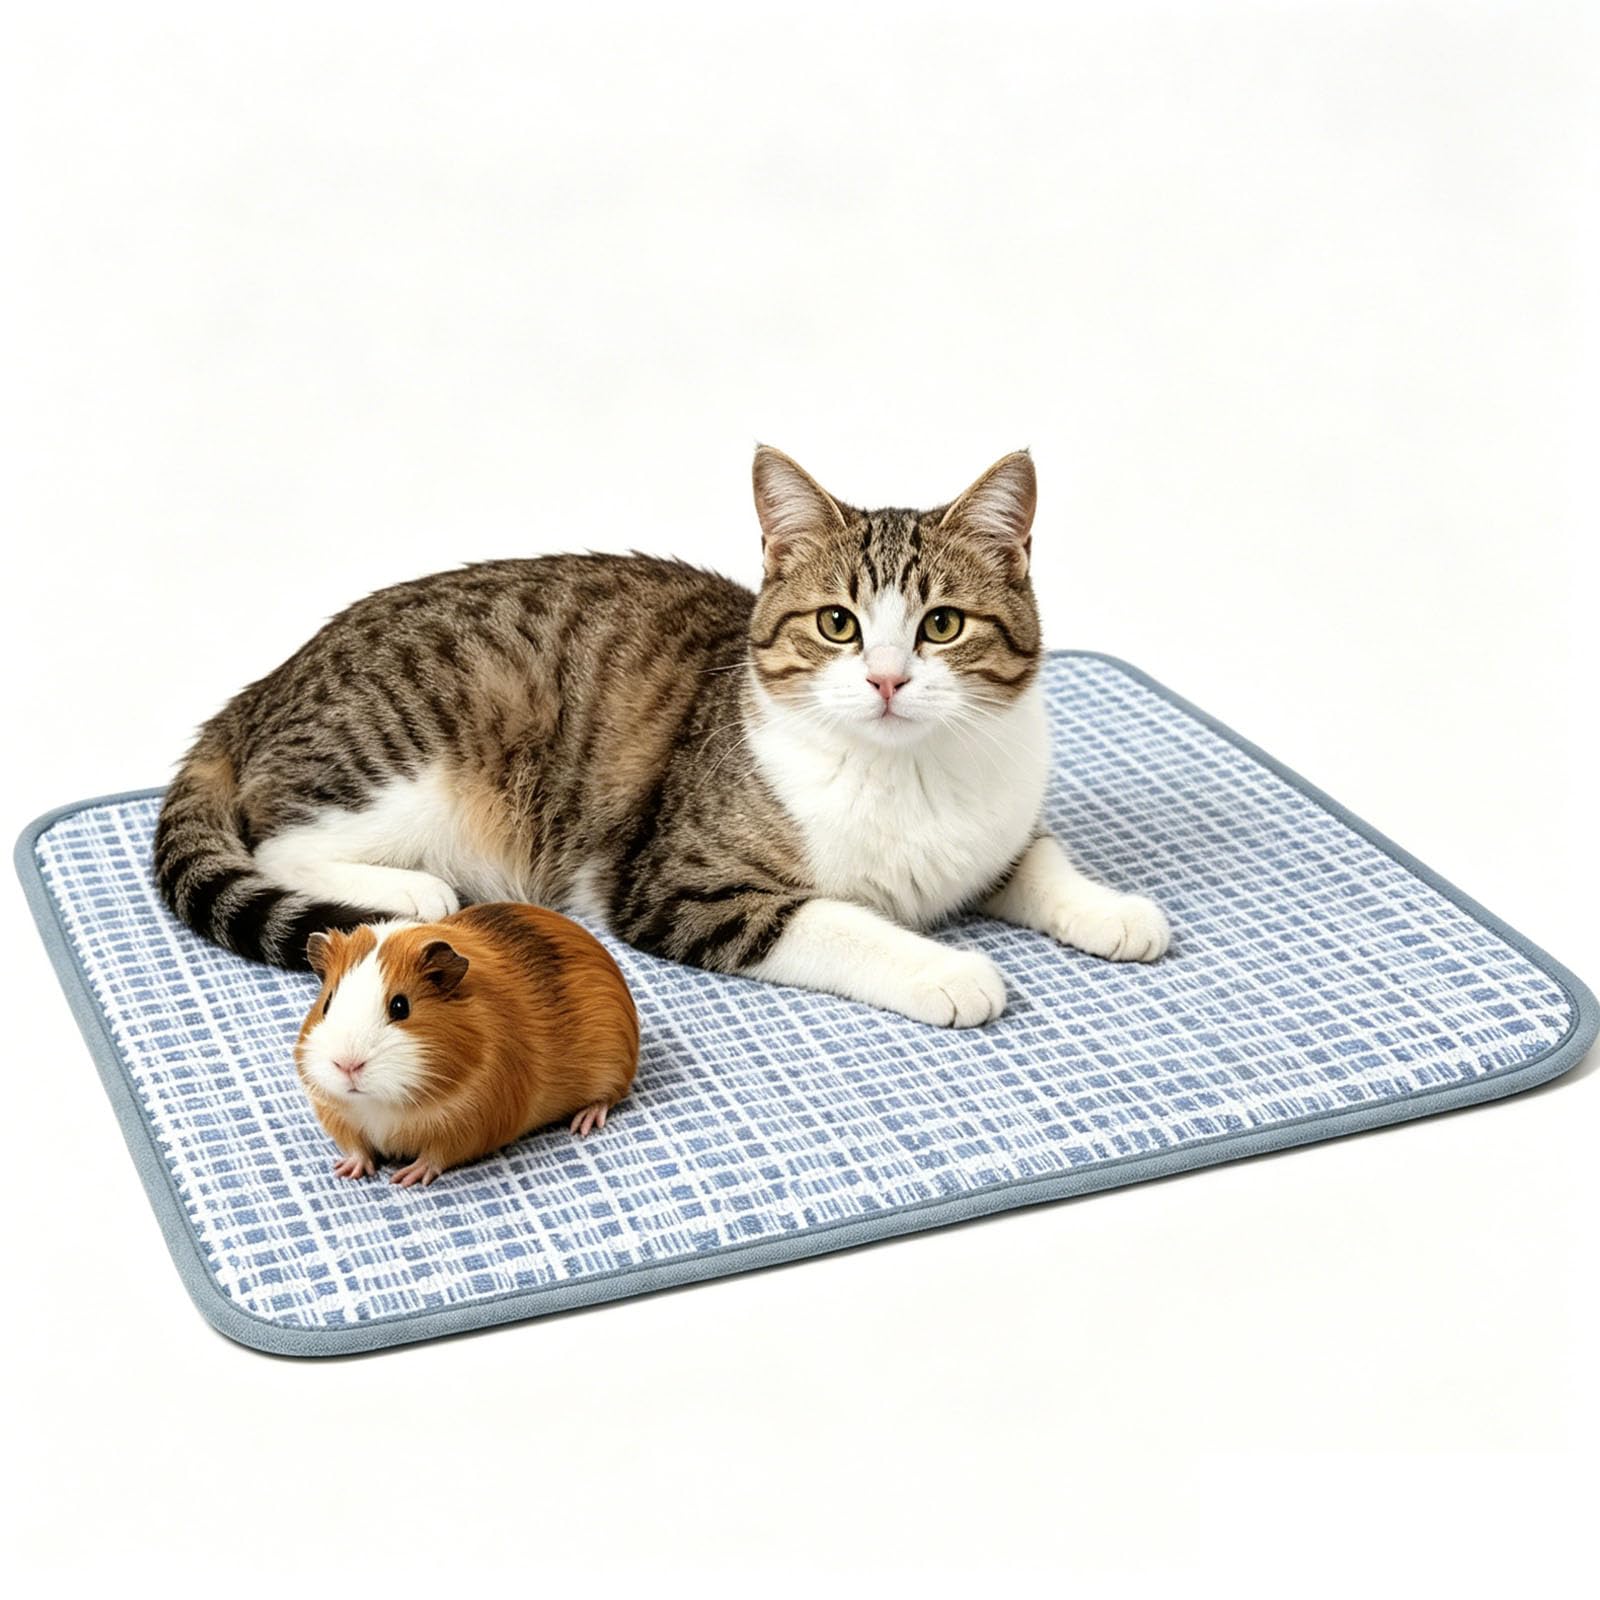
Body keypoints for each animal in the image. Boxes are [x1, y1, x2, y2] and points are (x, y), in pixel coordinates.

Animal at [294, 902, 639, 1186]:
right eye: (327, 1003)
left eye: (400, 1007)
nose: (347, 1065)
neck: (383, 1104)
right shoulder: (339, 1116)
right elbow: (356, 1147)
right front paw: (347, 1170)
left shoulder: (473, 1123)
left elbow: (437, 1155)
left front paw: (407, 1178)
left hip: (612, 1069)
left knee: (609, 1097)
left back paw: (583, 1123)